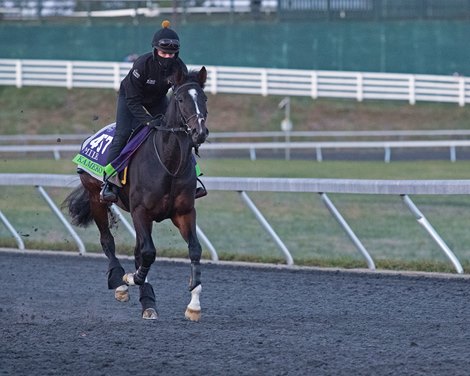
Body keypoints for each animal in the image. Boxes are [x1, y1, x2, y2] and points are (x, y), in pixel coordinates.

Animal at [63, 65, 209, 320]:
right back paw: (121, 284)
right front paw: (131, 278)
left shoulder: (184, 212)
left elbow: (194, 250)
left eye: (204, 98)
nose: (199, 132)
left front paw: (194, 304)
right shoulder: (141, 211)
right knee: (107, 240)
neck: (169, 163)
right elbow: (148, 252)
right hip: (95, 196)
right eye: (181, 99)